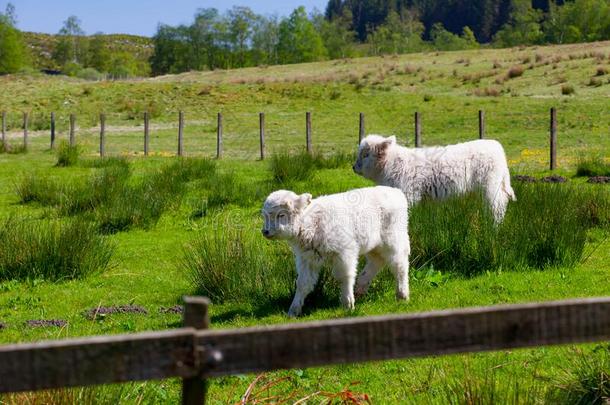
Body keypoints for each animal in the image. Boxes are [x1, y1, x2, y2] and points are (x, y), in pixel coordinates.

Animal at [262, 186, 408, 316]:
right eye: (264, 216)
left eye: (281, 215)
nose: (265, 231)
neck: (312, 223)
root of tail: (397, 192)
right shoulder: (306, 259)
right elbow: (303, 283)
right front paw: (293, 310)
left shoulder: (344, 253)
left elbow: (345, 277)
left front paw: (348, 304)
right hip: (375, 245)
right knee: (377, 261)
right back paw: (360, 288)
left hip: (394, 241)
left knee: (399, 264)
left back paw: (402, 295)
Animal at [352, 137, 512, 224]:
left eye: (365, 155)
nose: (354, 167)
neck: (391, 164)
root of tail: (497, 146)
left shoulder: (409, 194)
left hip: (491, 186)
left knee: (497, 206)